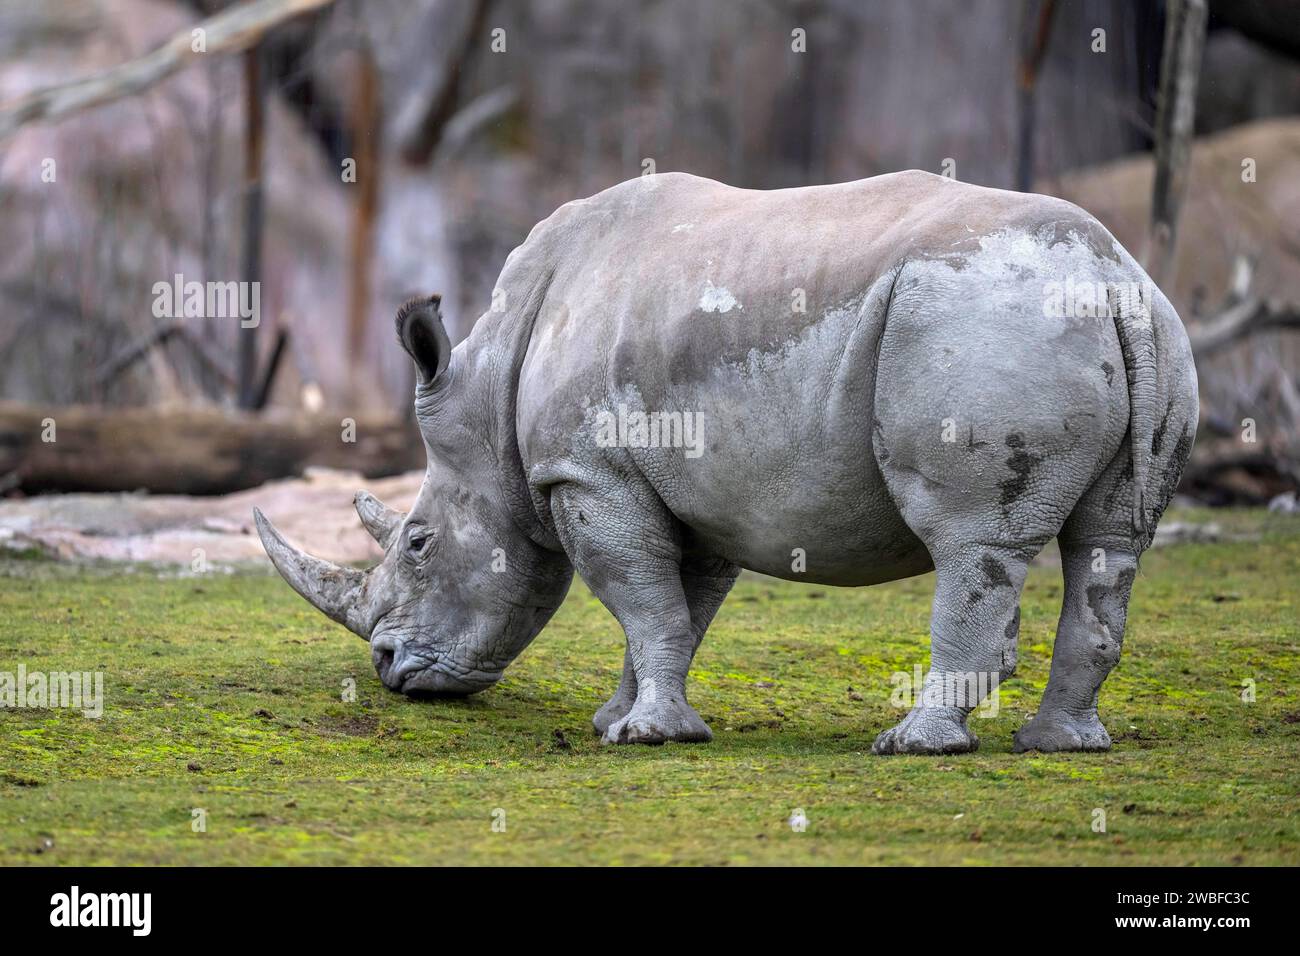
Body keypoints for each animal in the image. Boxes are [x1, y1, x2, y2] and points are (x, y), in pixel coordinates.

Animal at [254, 170, 1198, 754]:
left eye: (417, 544)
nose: (387, 670)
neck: (490, 406)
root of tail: (1112, 278)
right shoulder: (687, 491)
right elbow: (672, 607)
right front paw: (618, 720)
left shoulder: (585, 472)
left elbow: (644, 600)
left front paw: (647, 736)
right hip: (1134, 326)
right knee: (1110, 544)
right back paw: (1061, 745)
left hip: (982, 321)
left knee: (974, 541)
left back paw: (913, 747)